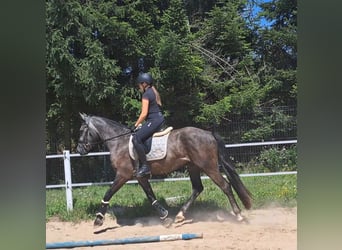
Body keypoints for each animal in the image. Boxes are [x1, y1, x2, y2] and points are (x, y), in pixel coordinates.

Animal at [77, 113, 251, 227]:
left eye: (82, 130)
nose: (79, 150)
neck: (119, 142)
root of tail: (208, 133)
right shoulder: (140, 177)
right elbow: (151, 196)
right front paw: (165, 217)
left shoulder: (123, 175)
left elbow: (108, 193)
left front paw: (98, 219)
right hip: (193, 166)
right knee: (197, 188)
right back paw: (180, 216)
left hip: (209, 166)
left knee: (225, 186)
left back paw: (239, 216)